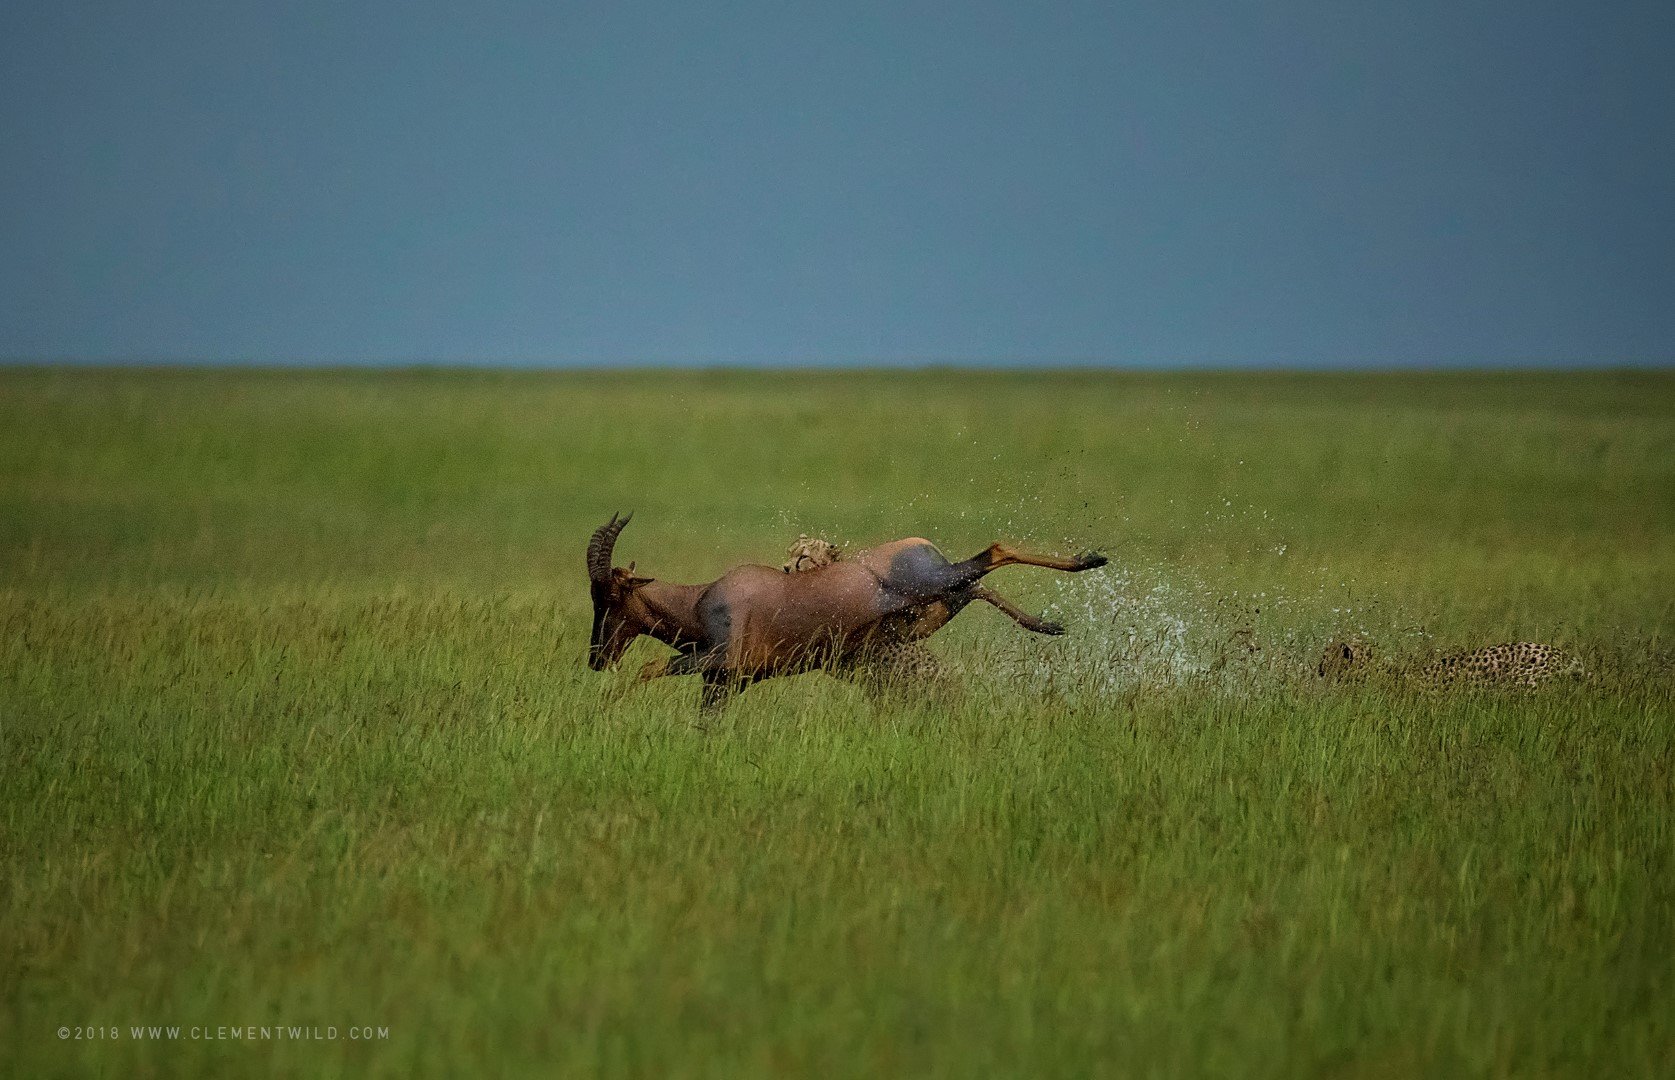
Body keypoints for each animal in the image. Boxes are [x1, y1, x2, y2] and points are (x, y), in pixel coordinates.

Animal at [582, 512, 1105, 706]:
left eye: (609, 596)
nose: (596, 659)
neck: (705, 598)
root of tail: (917, 543)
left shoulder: (719, 657)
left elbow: (650, 667)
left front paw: (611, 703)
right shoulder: (727, 681)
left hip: (933, 585)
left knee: (994, 553)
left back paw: (1089, 561)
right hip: (938, 603)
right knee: (979, 585)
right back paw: (1048, 622)